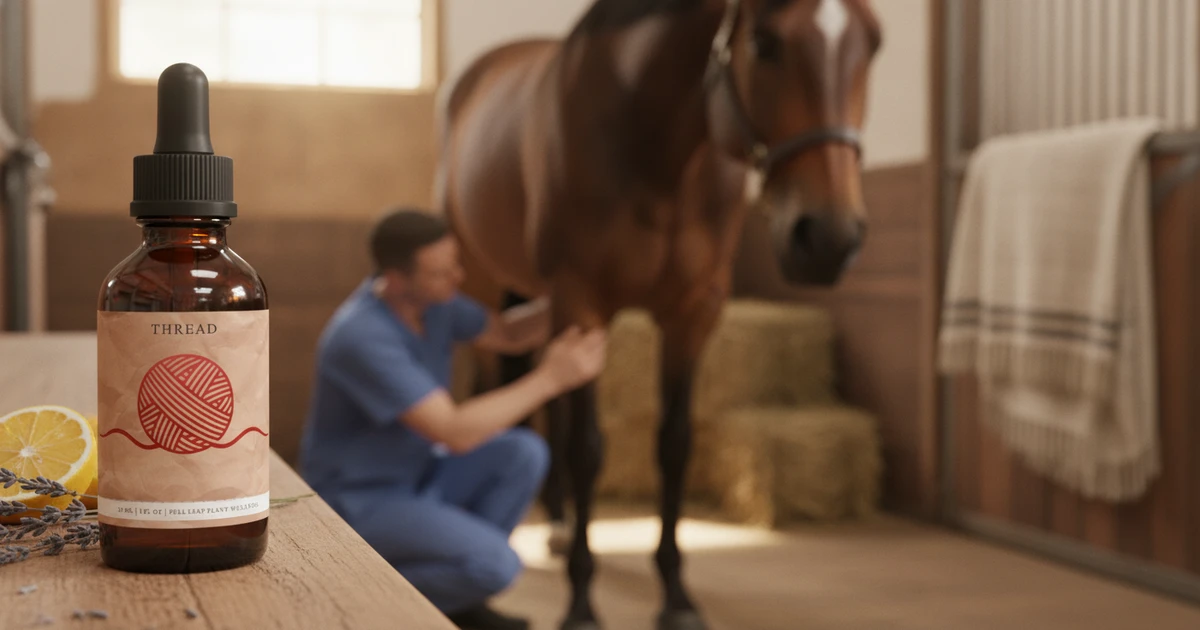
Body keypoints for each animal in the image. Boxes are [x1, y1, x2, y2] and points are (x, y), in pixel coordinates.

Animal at [437, 1, 882, 628]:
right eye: (765, 44)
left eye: (874, 44)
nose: (829, 239)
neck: (658, 153)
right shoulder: (582, 305)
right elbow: (587, 448)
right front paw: (581, 602)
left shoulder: (693, 314)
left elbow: (674, 445)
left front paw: (675, 596)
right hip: (485, 288)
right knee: (508, 398)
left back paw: (557, 521)